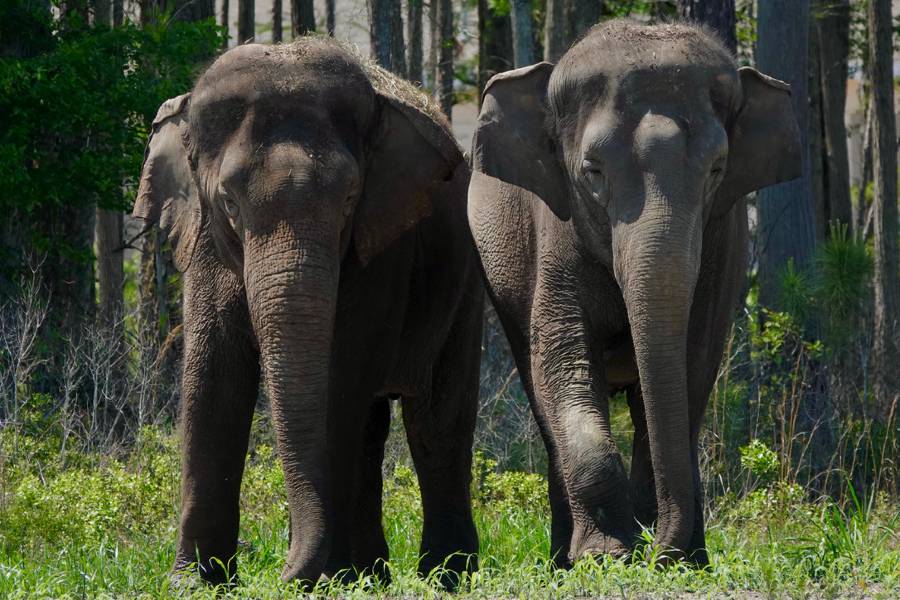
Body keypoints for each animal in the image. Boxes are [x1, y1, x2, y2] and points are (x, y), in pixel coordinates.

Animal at [132, 39, 486, 588]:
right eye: (229, 202)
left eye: (349, 198)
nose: (280, 572)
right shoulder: (204, 242)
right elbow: (212, 378)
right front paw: (194, 583)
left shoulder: (382, 244)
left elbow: (340, 380)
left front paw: (325, 579)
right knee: (374, 426)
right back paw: (371, 576)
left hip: (464, 281)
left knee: (435, 421)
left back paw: (441, 577)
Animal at [468, 19, 800, 568]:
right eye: (593, 170)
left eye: (717, 168)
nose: (657, 550)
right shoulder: (555, 235)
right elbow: (561, 363)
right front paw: (604, 556)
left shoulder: (724, 242)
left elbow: (692, 363)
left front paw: (675, 558)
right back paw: (564, 558)